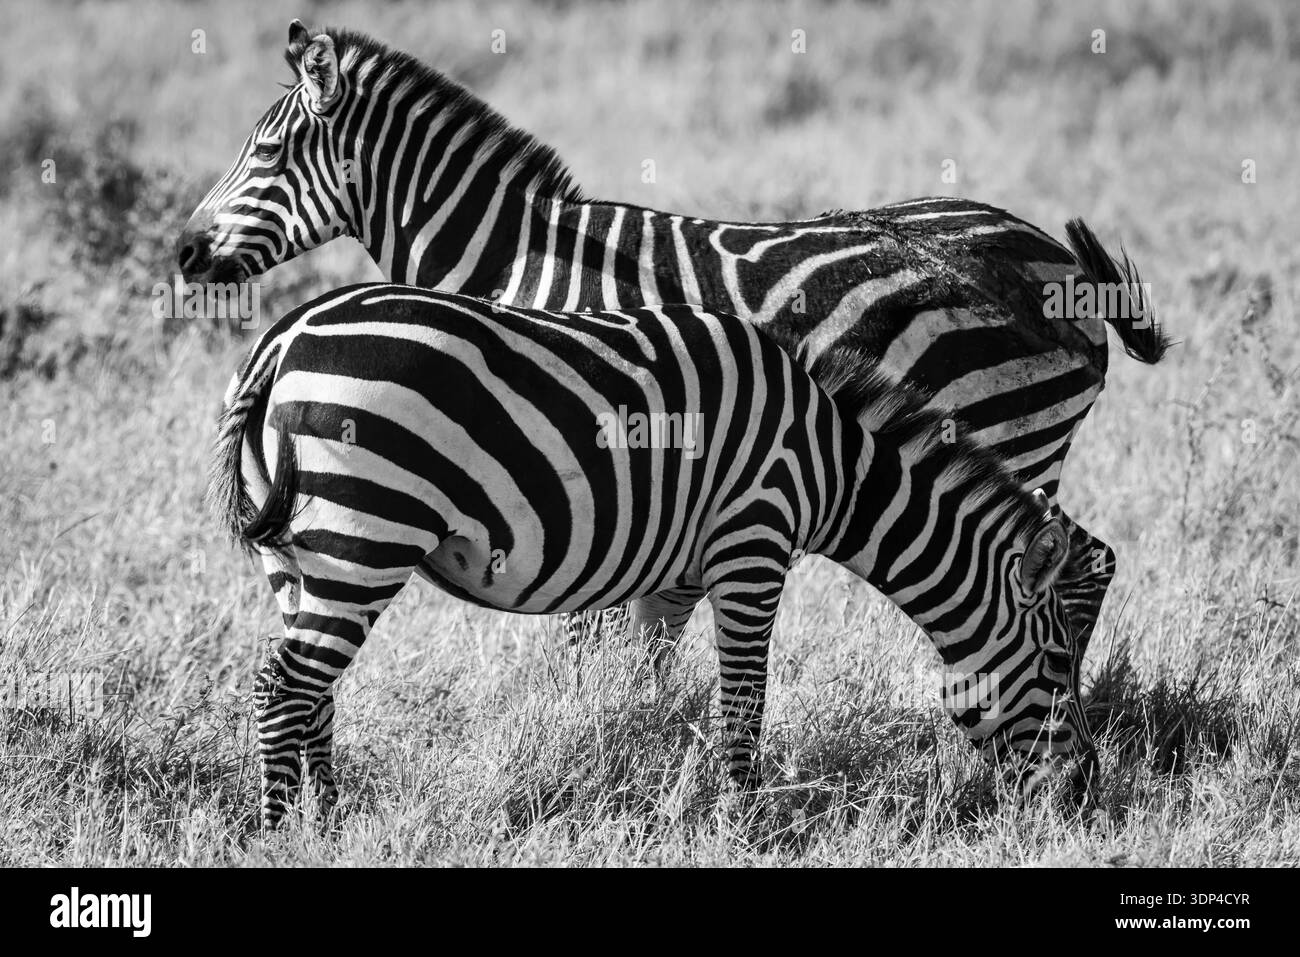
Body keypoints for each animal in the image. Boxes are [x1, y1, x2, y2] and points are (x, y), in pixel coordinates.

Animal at [179, 21, 1167, 665]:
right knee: (1081, 558)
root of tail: (1056, 260)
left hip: (1011, 438)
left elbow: (596, 621)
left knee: (1073, 561)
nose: (184, 253)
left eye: (264, 153)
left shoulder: (585, 448)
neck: (516, 255)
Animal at [210, 282, 1098, 829]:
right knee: (284, 684)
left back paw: (332, 818)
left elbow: (655, 687)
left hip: (302, 553)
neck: (832, 461)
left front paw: (658, 793)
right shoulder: (754, 543)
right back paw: (283, 830)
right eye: (1059, 662)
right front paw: (746, 820)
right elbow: (742, 700)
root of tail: (286, 334)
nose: (1084, 790)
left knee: (313, 689)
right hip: (365, 528)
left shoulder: (673, 576)